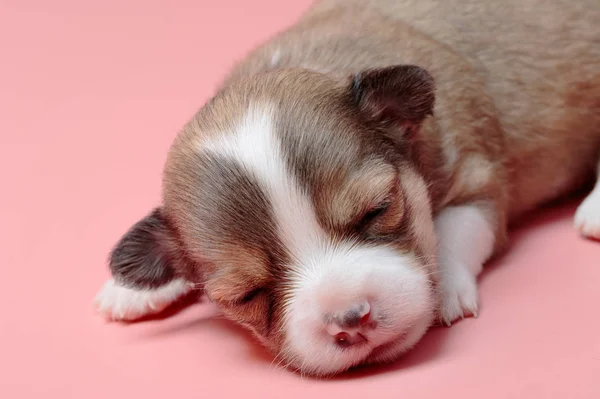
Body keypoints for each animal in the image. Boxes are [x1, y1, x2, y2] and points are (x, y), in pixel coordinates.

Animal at [92, 0, 600, 378]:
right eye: (246, 296)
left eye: (378, 209)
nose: (353, 318)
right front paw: (128, 288)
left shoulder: (481, 177)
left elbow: (458, 228)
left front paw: (446, 290)